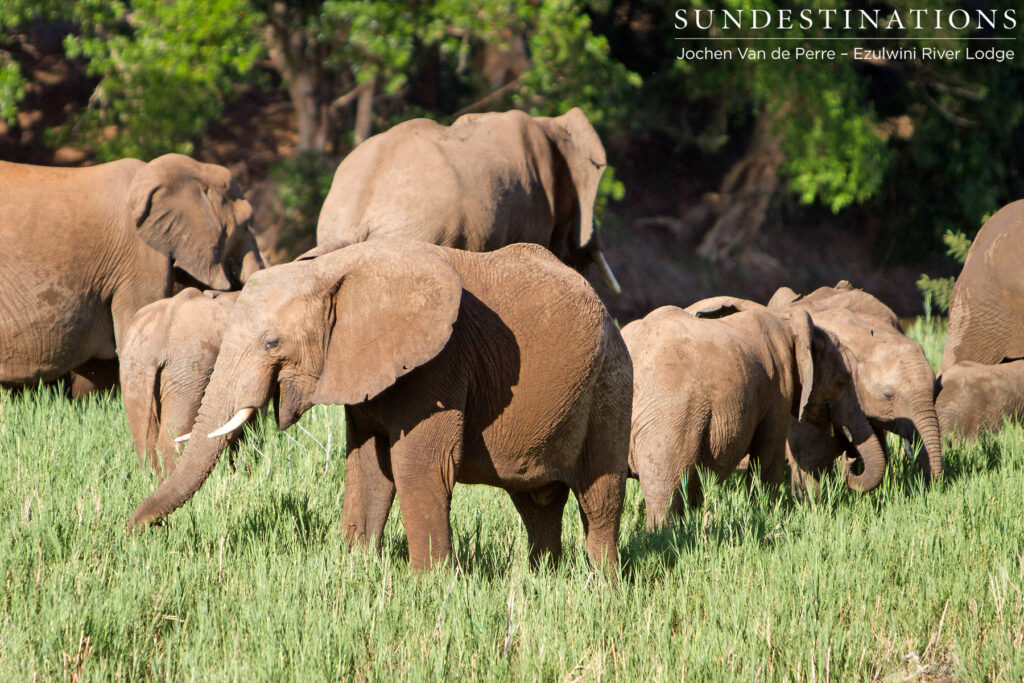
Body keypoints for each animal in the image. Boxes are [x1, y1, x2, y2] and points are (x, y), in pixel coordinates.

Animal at [128, 238, 632, 574]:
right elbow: (368, 464)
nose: (135, 530)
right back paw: (542, 578)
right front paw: (354, 569)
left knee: (599, 499)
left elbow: (417, 465)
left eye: (272, 343)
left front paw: (431, 587)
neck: (339, 268)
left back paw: (601, 587)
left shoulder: (440, 362)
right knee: (536, 501)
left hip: (611, 384)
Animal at [621, 296, 886, 529]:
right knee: (664, 489)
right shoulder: (779, 388)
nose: (850, 460)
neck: (791, 325)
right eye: (841, 383)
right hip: (670, 421)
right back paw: (663, 535)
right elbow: (768, 458)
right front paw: (765, 512)